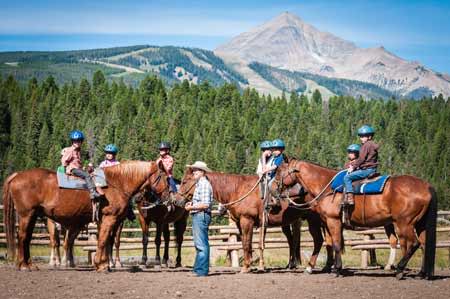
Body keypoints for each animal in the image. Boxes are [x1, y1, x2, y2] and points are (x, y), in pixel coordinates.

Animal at [2, 162, 169, 272]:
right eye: (164, 177)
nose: (169, 194)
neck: (116, 183)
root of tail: (17, 175)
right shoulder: (109, 217)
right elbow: (103, 240)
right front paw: (101, 265)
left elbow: (105, 240)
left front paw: (103, 263)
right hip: (26, 215)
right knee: (23, 237)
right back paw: (24, 265)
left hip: (32, 215)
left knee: (28, 238)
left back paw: (29, 264)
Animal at [178, 169, 332, 274]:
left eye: (185, 181)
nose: (177, 200)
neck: (237, 189)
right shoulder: (240, 223)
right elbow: (246, 243)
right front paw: (250, 265)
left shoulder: (247, 221)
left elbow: (247, 244)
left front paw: (246, 267)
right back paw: (323, 266)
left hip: (315, 221)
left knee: (319, 240)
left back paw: (311, 267)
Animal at [270, 161, 436, 280]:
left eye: (279, 171)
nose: (272, 189)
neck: (327, 187)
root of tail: (426, 186)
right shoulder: (328, 223)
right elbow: (332, 243)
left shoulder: (333, 221)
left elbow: (336, 244)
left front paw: (337, 270)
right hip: (419, 224)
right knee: (424, 244)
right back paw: (422, 273)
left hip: (404, 224)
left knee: (413, 243)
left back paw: (400, 269)